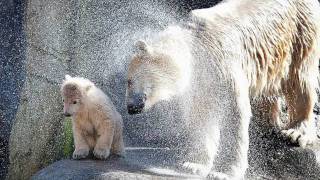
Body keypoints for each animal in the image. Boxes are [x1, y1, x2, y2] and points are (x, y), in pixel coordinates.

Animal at [125, 0, 320, 179]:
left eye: (129, 81)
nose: (130, 107)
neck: (197, 44)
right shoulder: (201, 82)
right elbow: (202, 114)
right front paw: (193, 165)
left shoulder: (223, 65)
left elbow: (234, 113)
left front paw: (224, 172)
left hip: (300, 32)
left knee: (300, 80)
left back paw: (296, 132)